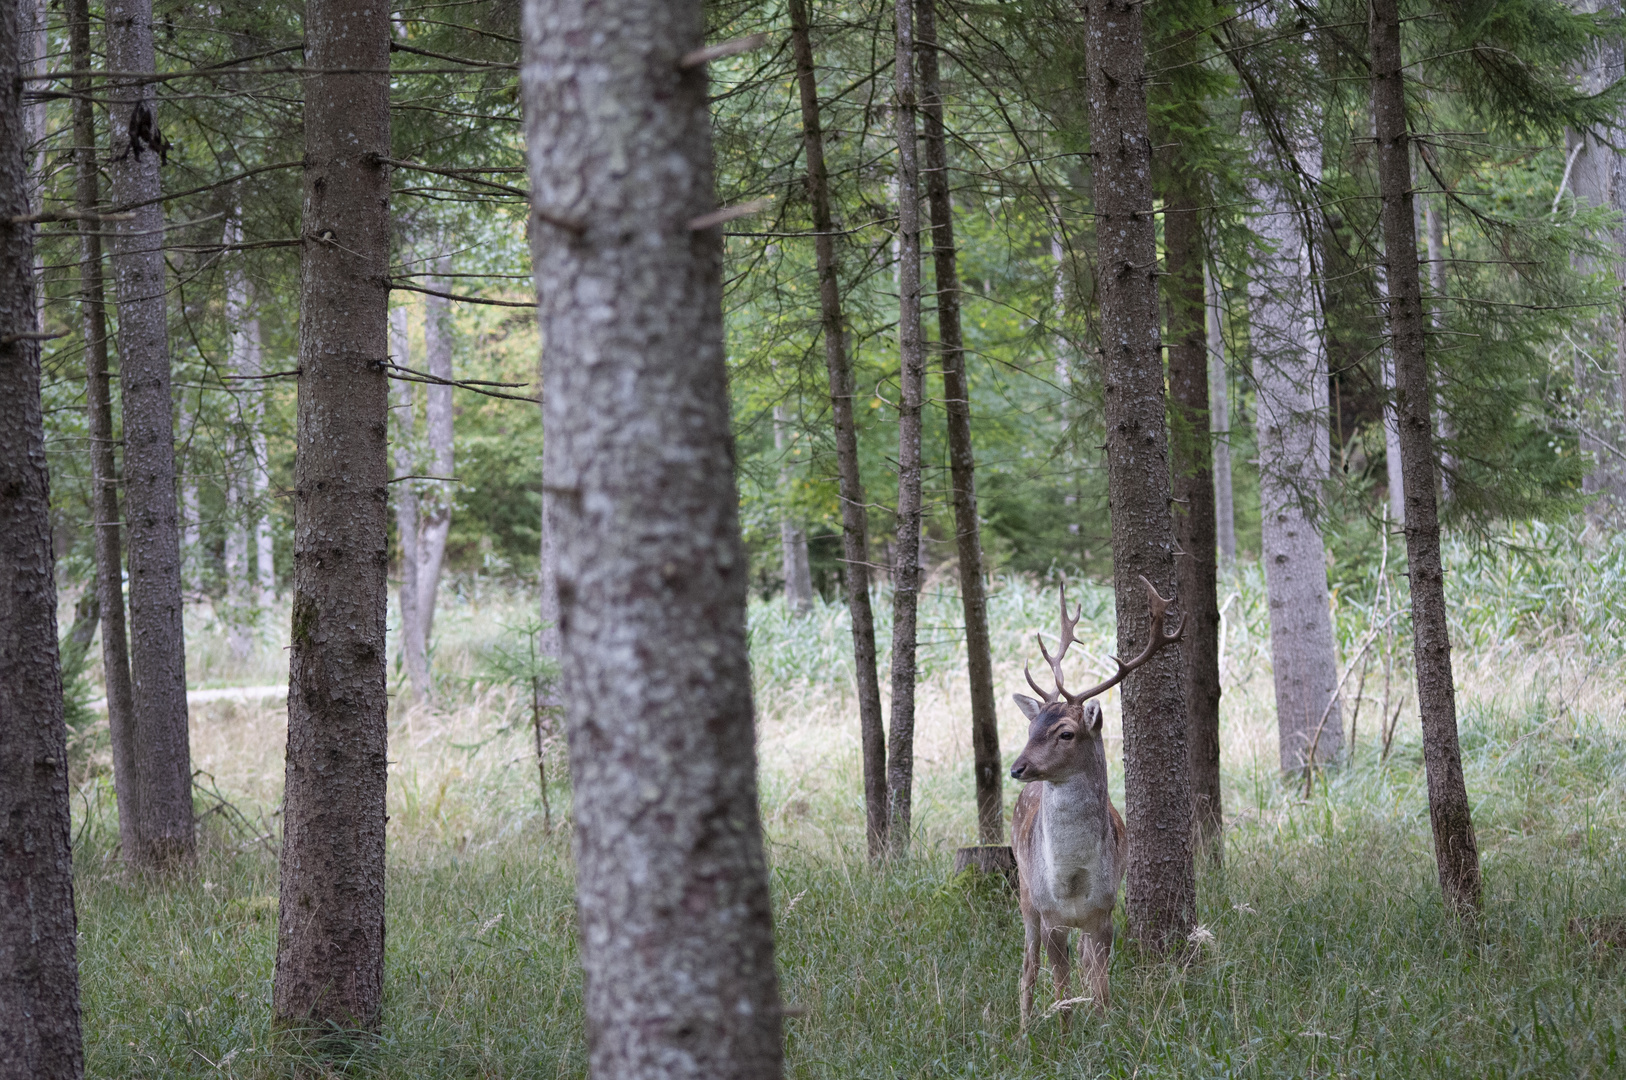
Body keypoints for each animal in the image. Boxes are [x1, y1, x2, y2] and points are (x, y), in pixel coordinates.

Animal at [1008, 572, 1177, 1027]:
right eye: (1031, 729)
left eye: (1065, 732)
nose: (1017, 767)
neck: (1072, 880)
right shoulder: (1050, 916)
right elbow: (1060, 990)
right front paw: (1065, 1032)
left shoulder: (1104, 913)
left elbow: (1100, 988)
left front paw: (1104, 1030)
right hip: (1025, 893)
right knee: (1027, 967)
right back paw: (1024, 1027)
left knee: (1082, 965)